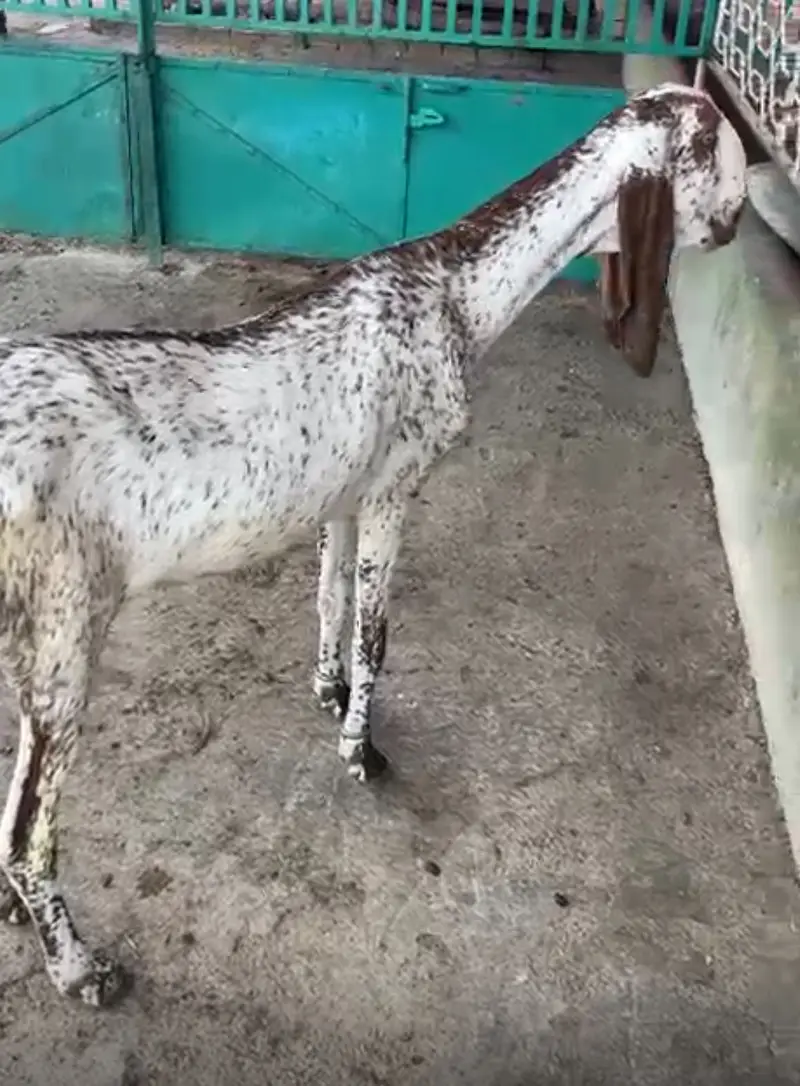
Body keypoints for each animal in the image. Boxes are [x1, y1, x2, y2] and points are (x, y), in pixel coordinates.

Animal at [0, 82, 746, 1007]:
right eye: (724, 159)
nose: (737, 227)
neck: (455, 290)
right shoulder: (396, 484)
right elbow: (380, 634)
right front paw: (363, 752)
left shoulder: (343, 494)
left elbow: (329, 595)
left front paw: (328, 691)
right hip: (63, 631)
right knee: (27, 833)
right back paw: (78, 968)